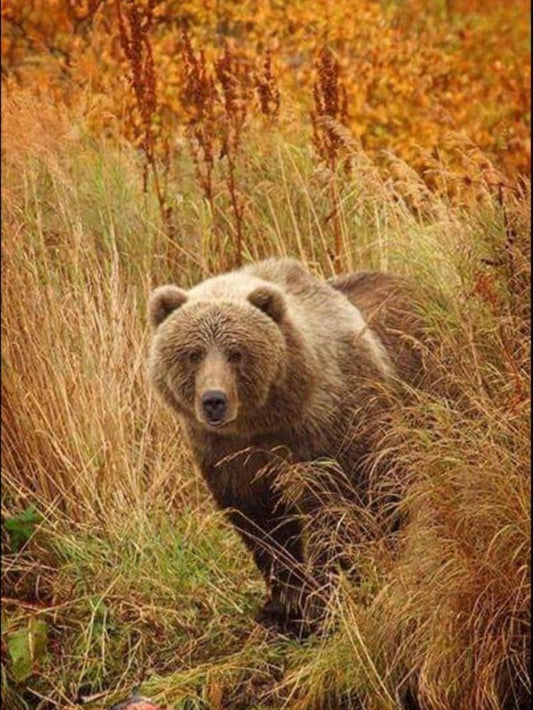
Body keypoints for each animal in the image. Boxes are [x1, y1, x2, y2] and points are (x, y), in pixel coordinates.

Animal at [147, 258, 427, 635]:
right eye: (193, 353)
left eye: (236, 353)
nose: (213, 400)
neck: (264, 419)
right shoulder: (228, 455)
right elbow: (262, 525)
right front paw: (283, 608)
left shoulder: (325, 433)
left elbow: (334, 513)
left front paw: (325, 603)